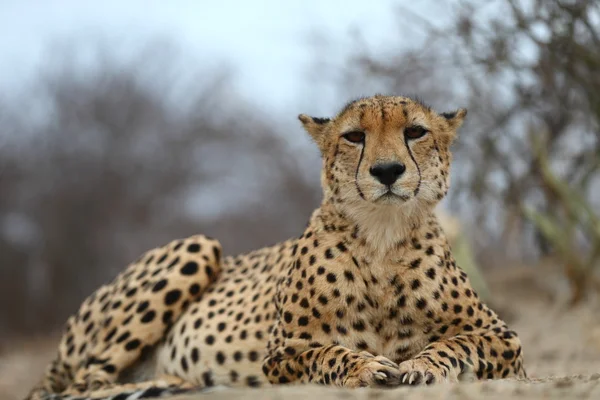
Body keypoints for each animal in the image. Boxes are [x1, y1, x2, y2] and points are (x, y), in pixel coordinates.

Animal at [27, 95, 524, 398]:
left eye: (416, 132)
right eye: (354, 136)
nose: (387, 171)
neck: (381, 239)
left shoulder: (505, 340)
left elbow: (459, 343)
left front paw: (425, 365)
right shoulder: (281, 353)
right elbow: (327, 353)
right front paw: (364, 368)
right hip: (199, 244)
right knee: (75, 384)